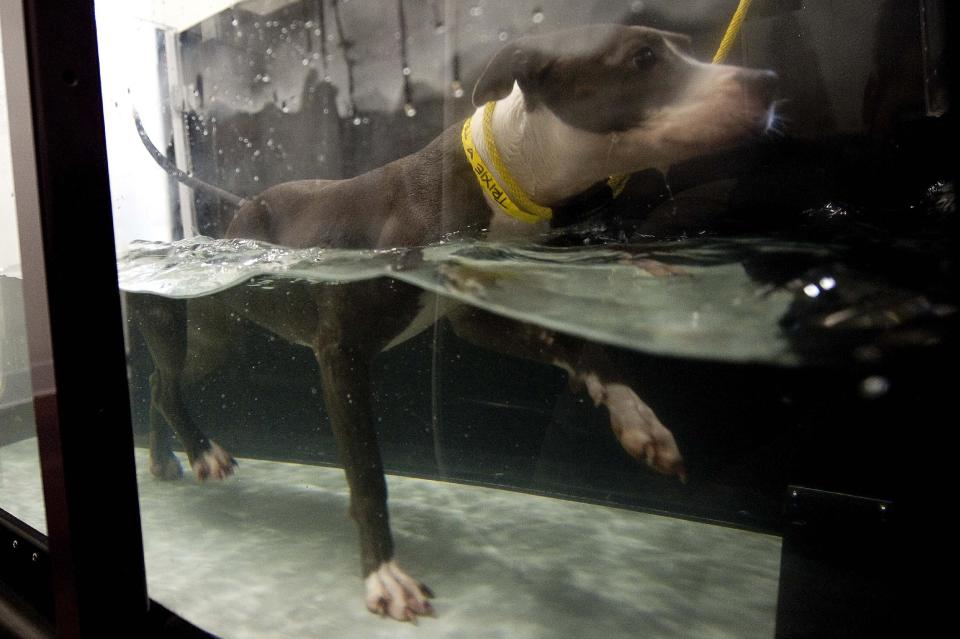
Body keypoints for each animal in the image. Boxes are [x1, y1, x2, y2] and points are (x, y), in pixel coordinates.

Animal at [131, 25, 776, 620]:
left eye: (682, 46)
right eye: (643, 59)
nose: (768, 82)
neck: (507, 174)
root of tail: (240, 207)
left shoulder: (481, 316)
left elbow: (579, 347)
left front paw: (636, 416)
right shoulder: (340, 354)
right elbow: (367, 472)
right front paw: (384, 573)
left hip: (221, 335)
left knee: (165, 382)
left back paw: (165, 458)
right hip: (212, 321)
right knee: (165, 380)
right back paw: (200, 450)